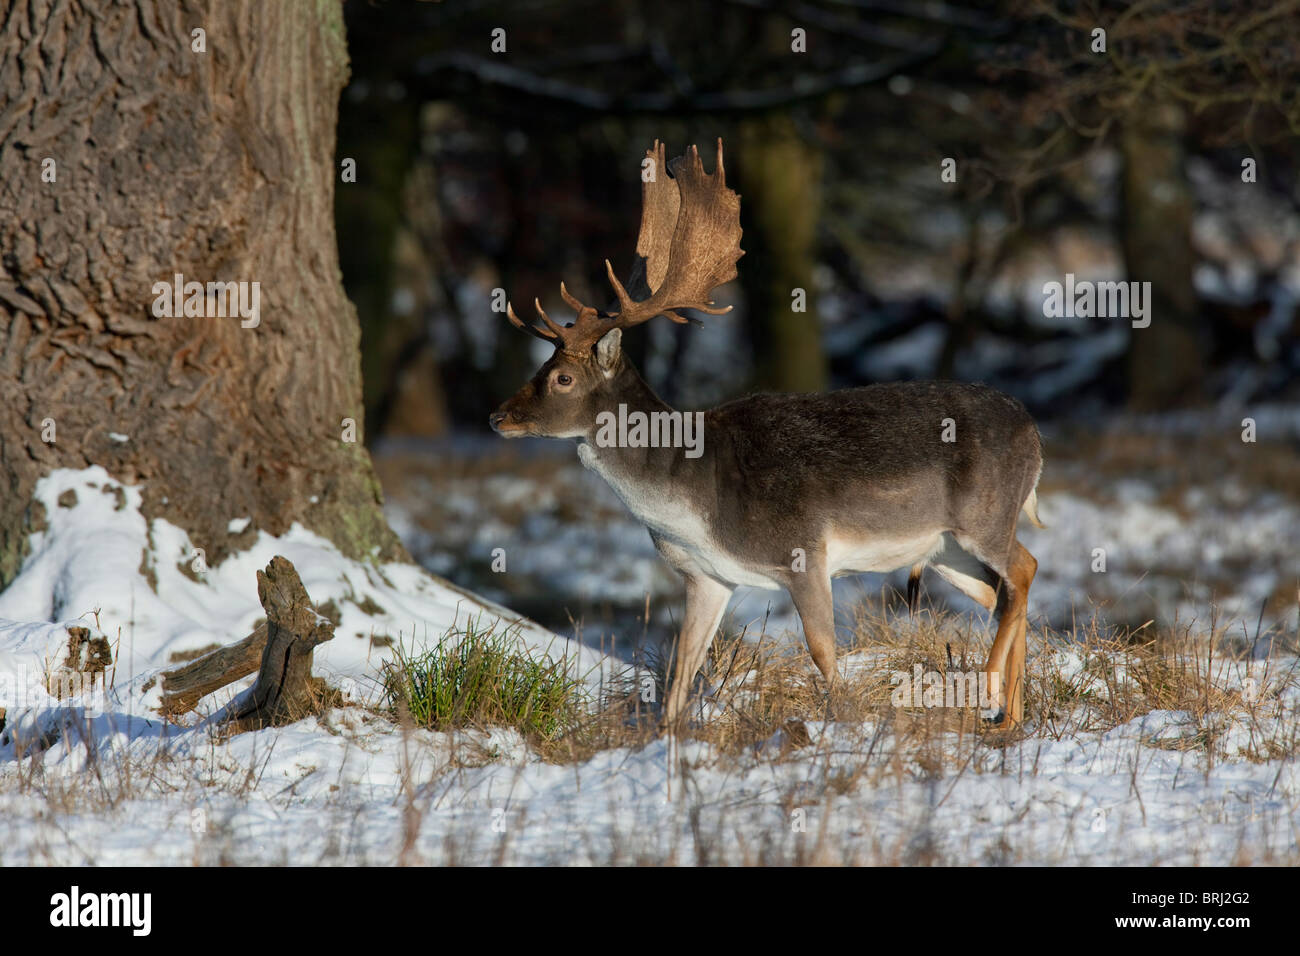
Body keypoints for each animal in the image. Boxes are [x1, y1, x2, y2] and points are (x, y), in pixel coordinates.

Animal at [488, 138, 1045, 728]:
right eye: (543, 367)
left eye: (562, 378)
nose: (498, 417)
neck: (697, 499)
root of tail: (1035, 433)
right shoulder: (708, 577)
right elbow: (682, 669)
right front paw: (669, 736)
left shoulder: (803, 551)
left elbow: (822, 650)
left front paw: (846, 720)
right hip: (946, 551)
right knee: (1004, 592)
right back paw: (1010, 717)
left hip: (983, 516)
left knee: (1025, 569)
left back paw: (991, 688)